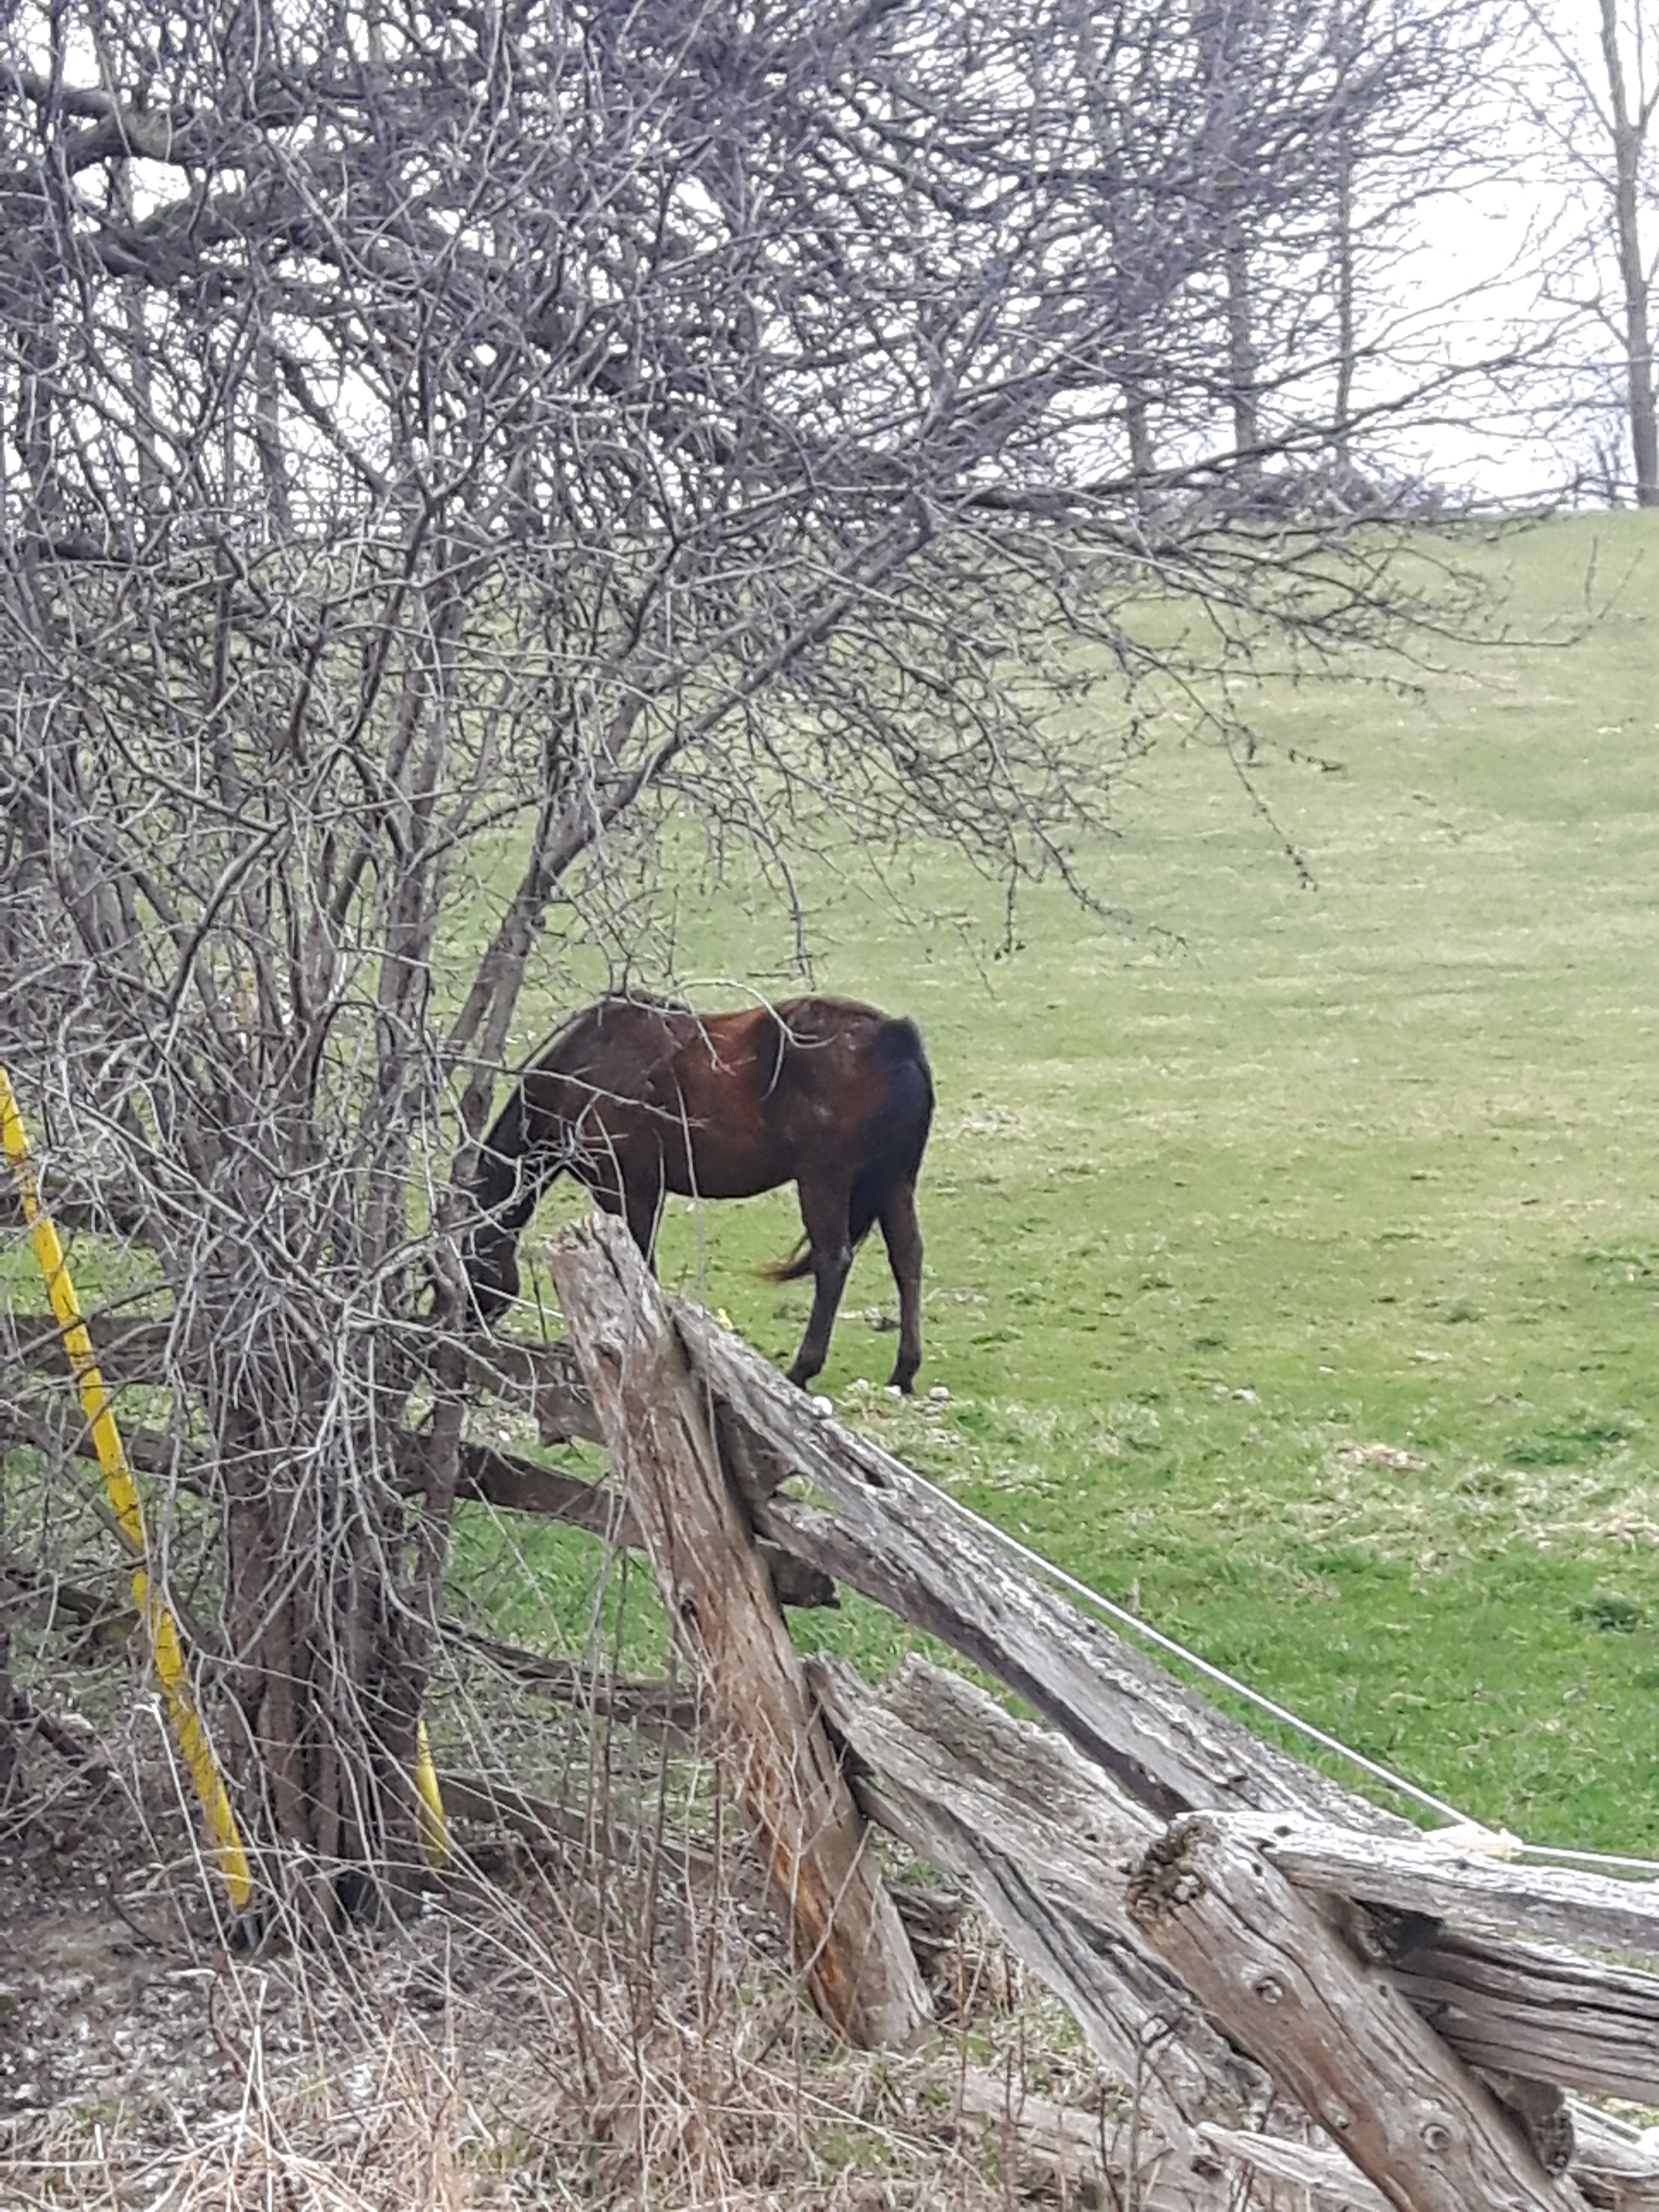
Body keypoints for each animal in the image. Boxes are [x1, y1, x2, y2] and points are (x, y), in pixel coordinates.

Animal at [464, 999, 938, 1380]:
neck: (579, 1076)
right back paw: (904, 1370)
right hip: (894, 1182)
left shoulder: (625, 1188)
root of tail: (897, 1038)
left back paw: (803, 1368)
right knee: (908, 1257)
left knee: (833, 1260)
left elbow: (640, 1263)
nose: (464, 1328)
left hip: (825, 1180)